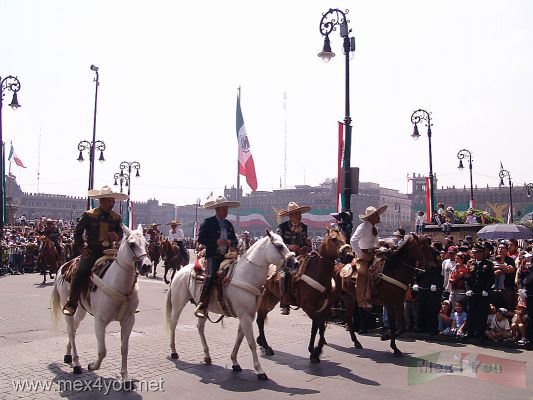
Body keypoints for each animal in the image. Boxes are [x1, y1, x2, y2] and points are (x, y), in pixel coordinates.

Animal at [50, 225, 151, 382]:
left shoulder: (128, 321)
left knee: (73, 329)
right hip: (69, 308)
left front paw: (125, 377)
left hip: (82, 310)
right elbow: (102, 351)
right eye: (132, 244)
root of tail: (64, 266)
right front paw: (92, 366)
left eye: (147, 244)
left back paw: (68, 355)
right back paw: (76, 364)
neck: (118, 283)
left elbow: (124, 348)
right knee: (71, 331)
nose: (146, 266)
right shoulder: (100, 321)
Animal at [165, 230, 296, 380]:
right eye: (279, 246)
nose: (296, 263)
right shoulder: (245, 316)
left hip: (203, 307)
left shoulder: (248, 316)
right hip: (178, 303)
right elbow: (251, 343)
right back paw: (174, 352)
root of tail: (179, 272)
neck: (246, 276)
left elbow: (239, 339)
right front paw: (260, 370)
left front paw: (235, 363)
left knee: (200, 327)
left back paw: (207, 356)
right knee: (173, 323)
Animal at [256, 228, 352, 362]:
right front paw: (314, 351)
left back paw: (261, 341)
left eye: (345, 238)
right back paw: (266, 346)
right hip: (264, 298)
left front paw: (316, 350)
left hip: (272, 299)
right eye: (334, 239)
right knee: (260, 320)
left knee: (262, 317)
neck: (318, 272)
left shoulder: (324, 308)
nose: (350, 255)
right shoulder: (308, 306)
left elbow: (320, 327)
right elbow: (316, 326)